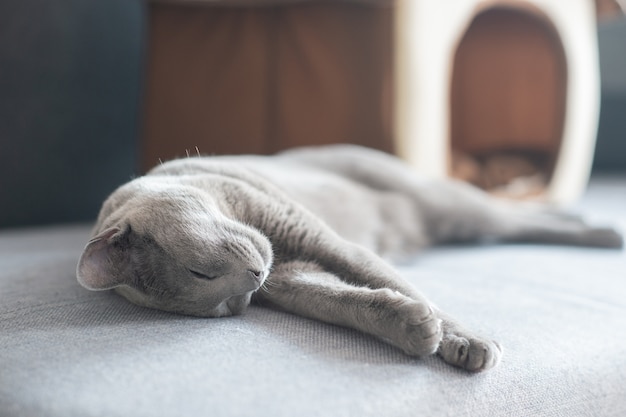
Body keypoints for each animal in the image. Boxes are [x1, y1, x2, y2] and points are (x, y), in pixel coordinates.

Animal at [77, 145, 620, 372]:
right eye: (227, 306)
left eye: (201, 270)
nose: (254, 278)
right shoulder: (293, 278)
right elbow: (345, 301)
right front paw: (415, 330)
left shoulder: (323, 241)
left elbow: (384, 278)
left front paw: (466, 341)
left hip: (447, 201)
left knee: (518, 215)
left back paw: (601, 231)